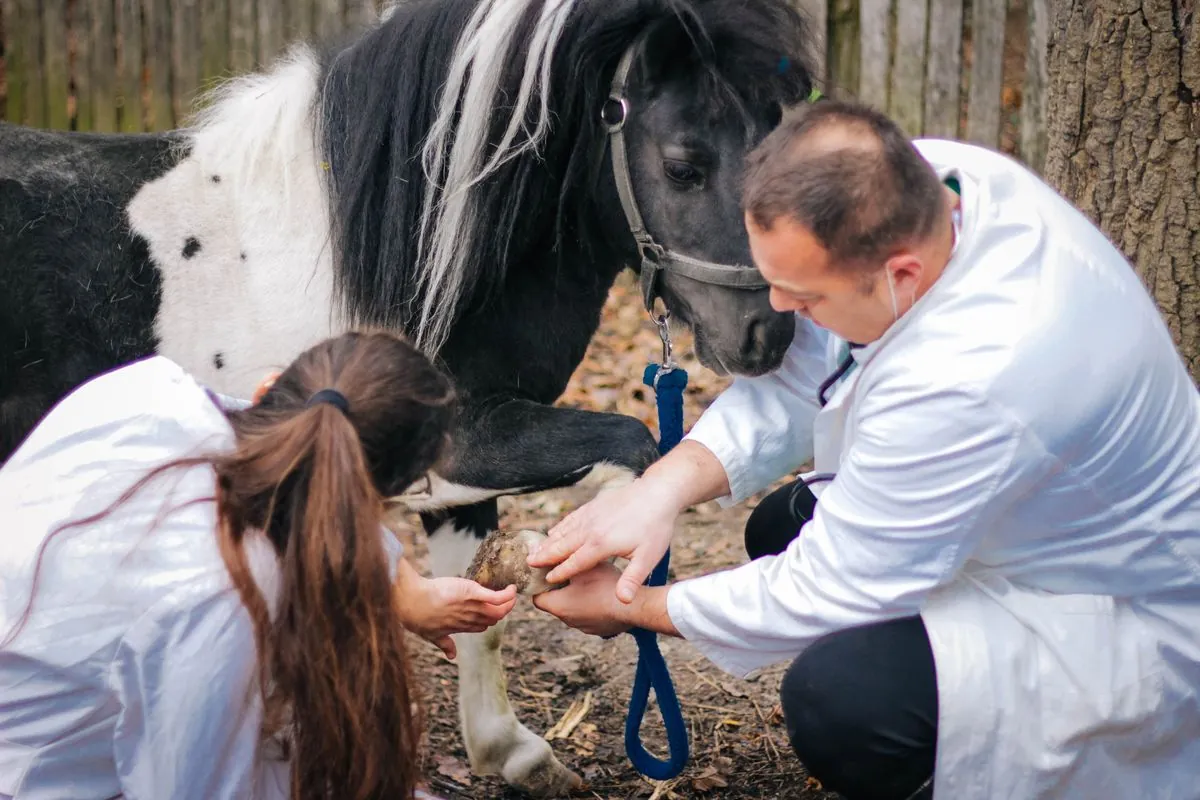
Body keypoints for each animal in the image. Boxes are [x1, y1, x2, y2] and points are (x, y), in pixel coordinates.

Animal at [0, 0, 816, 796]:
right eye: (683, 166)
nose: (767, 334)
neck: (387, 257)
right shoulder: (449, 445)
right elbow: (633, 449)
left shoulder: (464, 462)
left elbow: (480, 607)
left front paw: (509, 750)